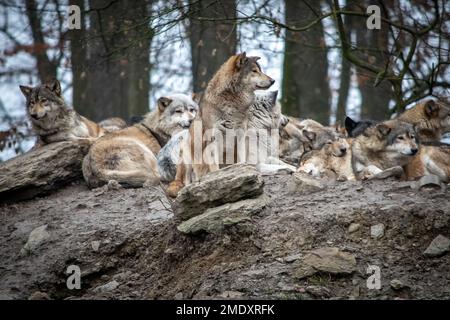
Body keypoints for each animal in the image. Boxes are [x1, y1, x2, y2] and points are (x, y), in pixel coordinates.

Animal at [166, 52, 274, 198]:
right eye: (254, 71)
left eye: (259, 70)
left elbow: (242, 161)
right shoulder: (213, 142)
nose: (273, 81)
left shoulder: (240, 137)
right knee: (186, 182)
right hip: (187, 150)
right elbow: (215, 169)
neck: (233, 102)